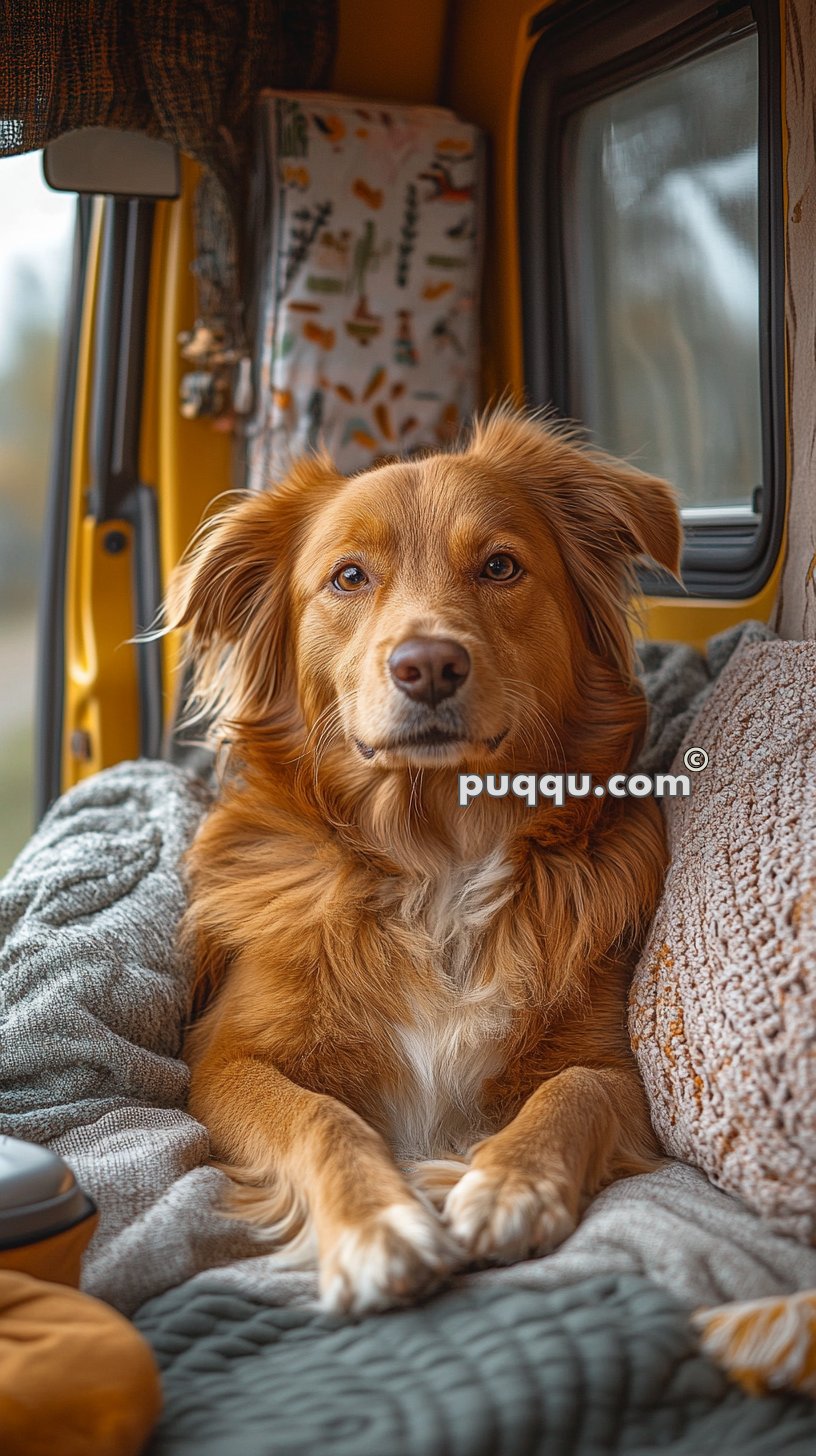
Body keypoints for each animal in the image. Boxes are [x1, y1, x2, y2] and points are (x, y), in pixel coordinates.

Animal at [166, 410, 681, 1322]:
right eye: (348, 576)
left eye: (501, 566)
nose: (428, 664)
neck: (440, 853)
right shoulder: (224, 1059)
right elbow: (316, 1117)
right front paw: (380, 1227)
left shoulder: (617, 1071)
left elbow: (573, 1091)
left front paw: (510, 1185)